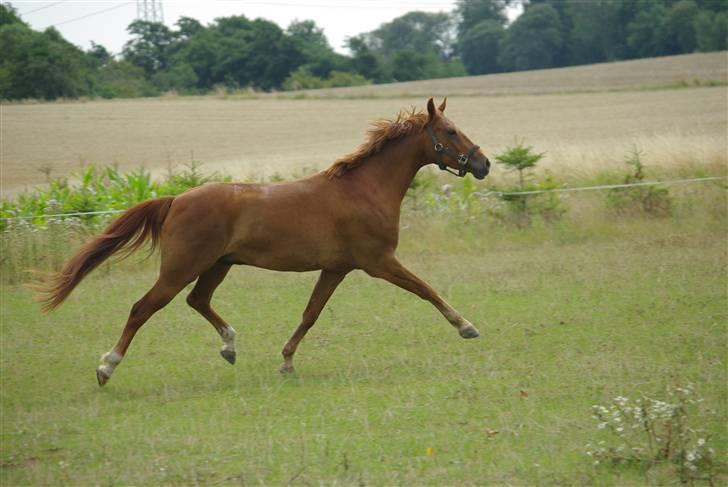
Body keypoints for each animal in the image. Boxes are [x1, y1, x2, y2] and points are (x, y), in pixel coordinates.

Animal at [37, 97, 492, 386]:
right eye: (450, 131)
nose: (484, 163)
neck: (364, 189)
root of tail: (175, 200)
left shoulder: (337, 268)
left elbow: (310, 314)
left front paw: (287, 361)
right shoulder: (379, 262)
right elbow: (427, 289)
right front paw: (467, 327)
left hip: (216, 266)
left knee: (196, 301)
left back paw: (230, 346)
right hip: (182, 268)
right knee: (142, 308)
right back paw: (106, 368)